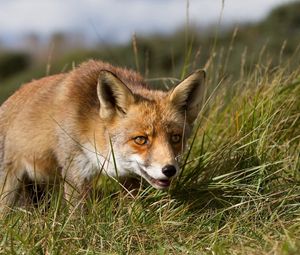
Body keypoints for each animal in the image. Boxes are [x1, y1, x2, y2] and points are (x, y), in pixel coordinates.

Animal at [0, 59, 205, 211]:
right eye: (141, 139)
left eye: (175, 138)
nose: (169, 170)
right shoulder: (75, 171)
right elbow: (77, 216)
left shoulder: (128, 178)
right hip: (9, 188)